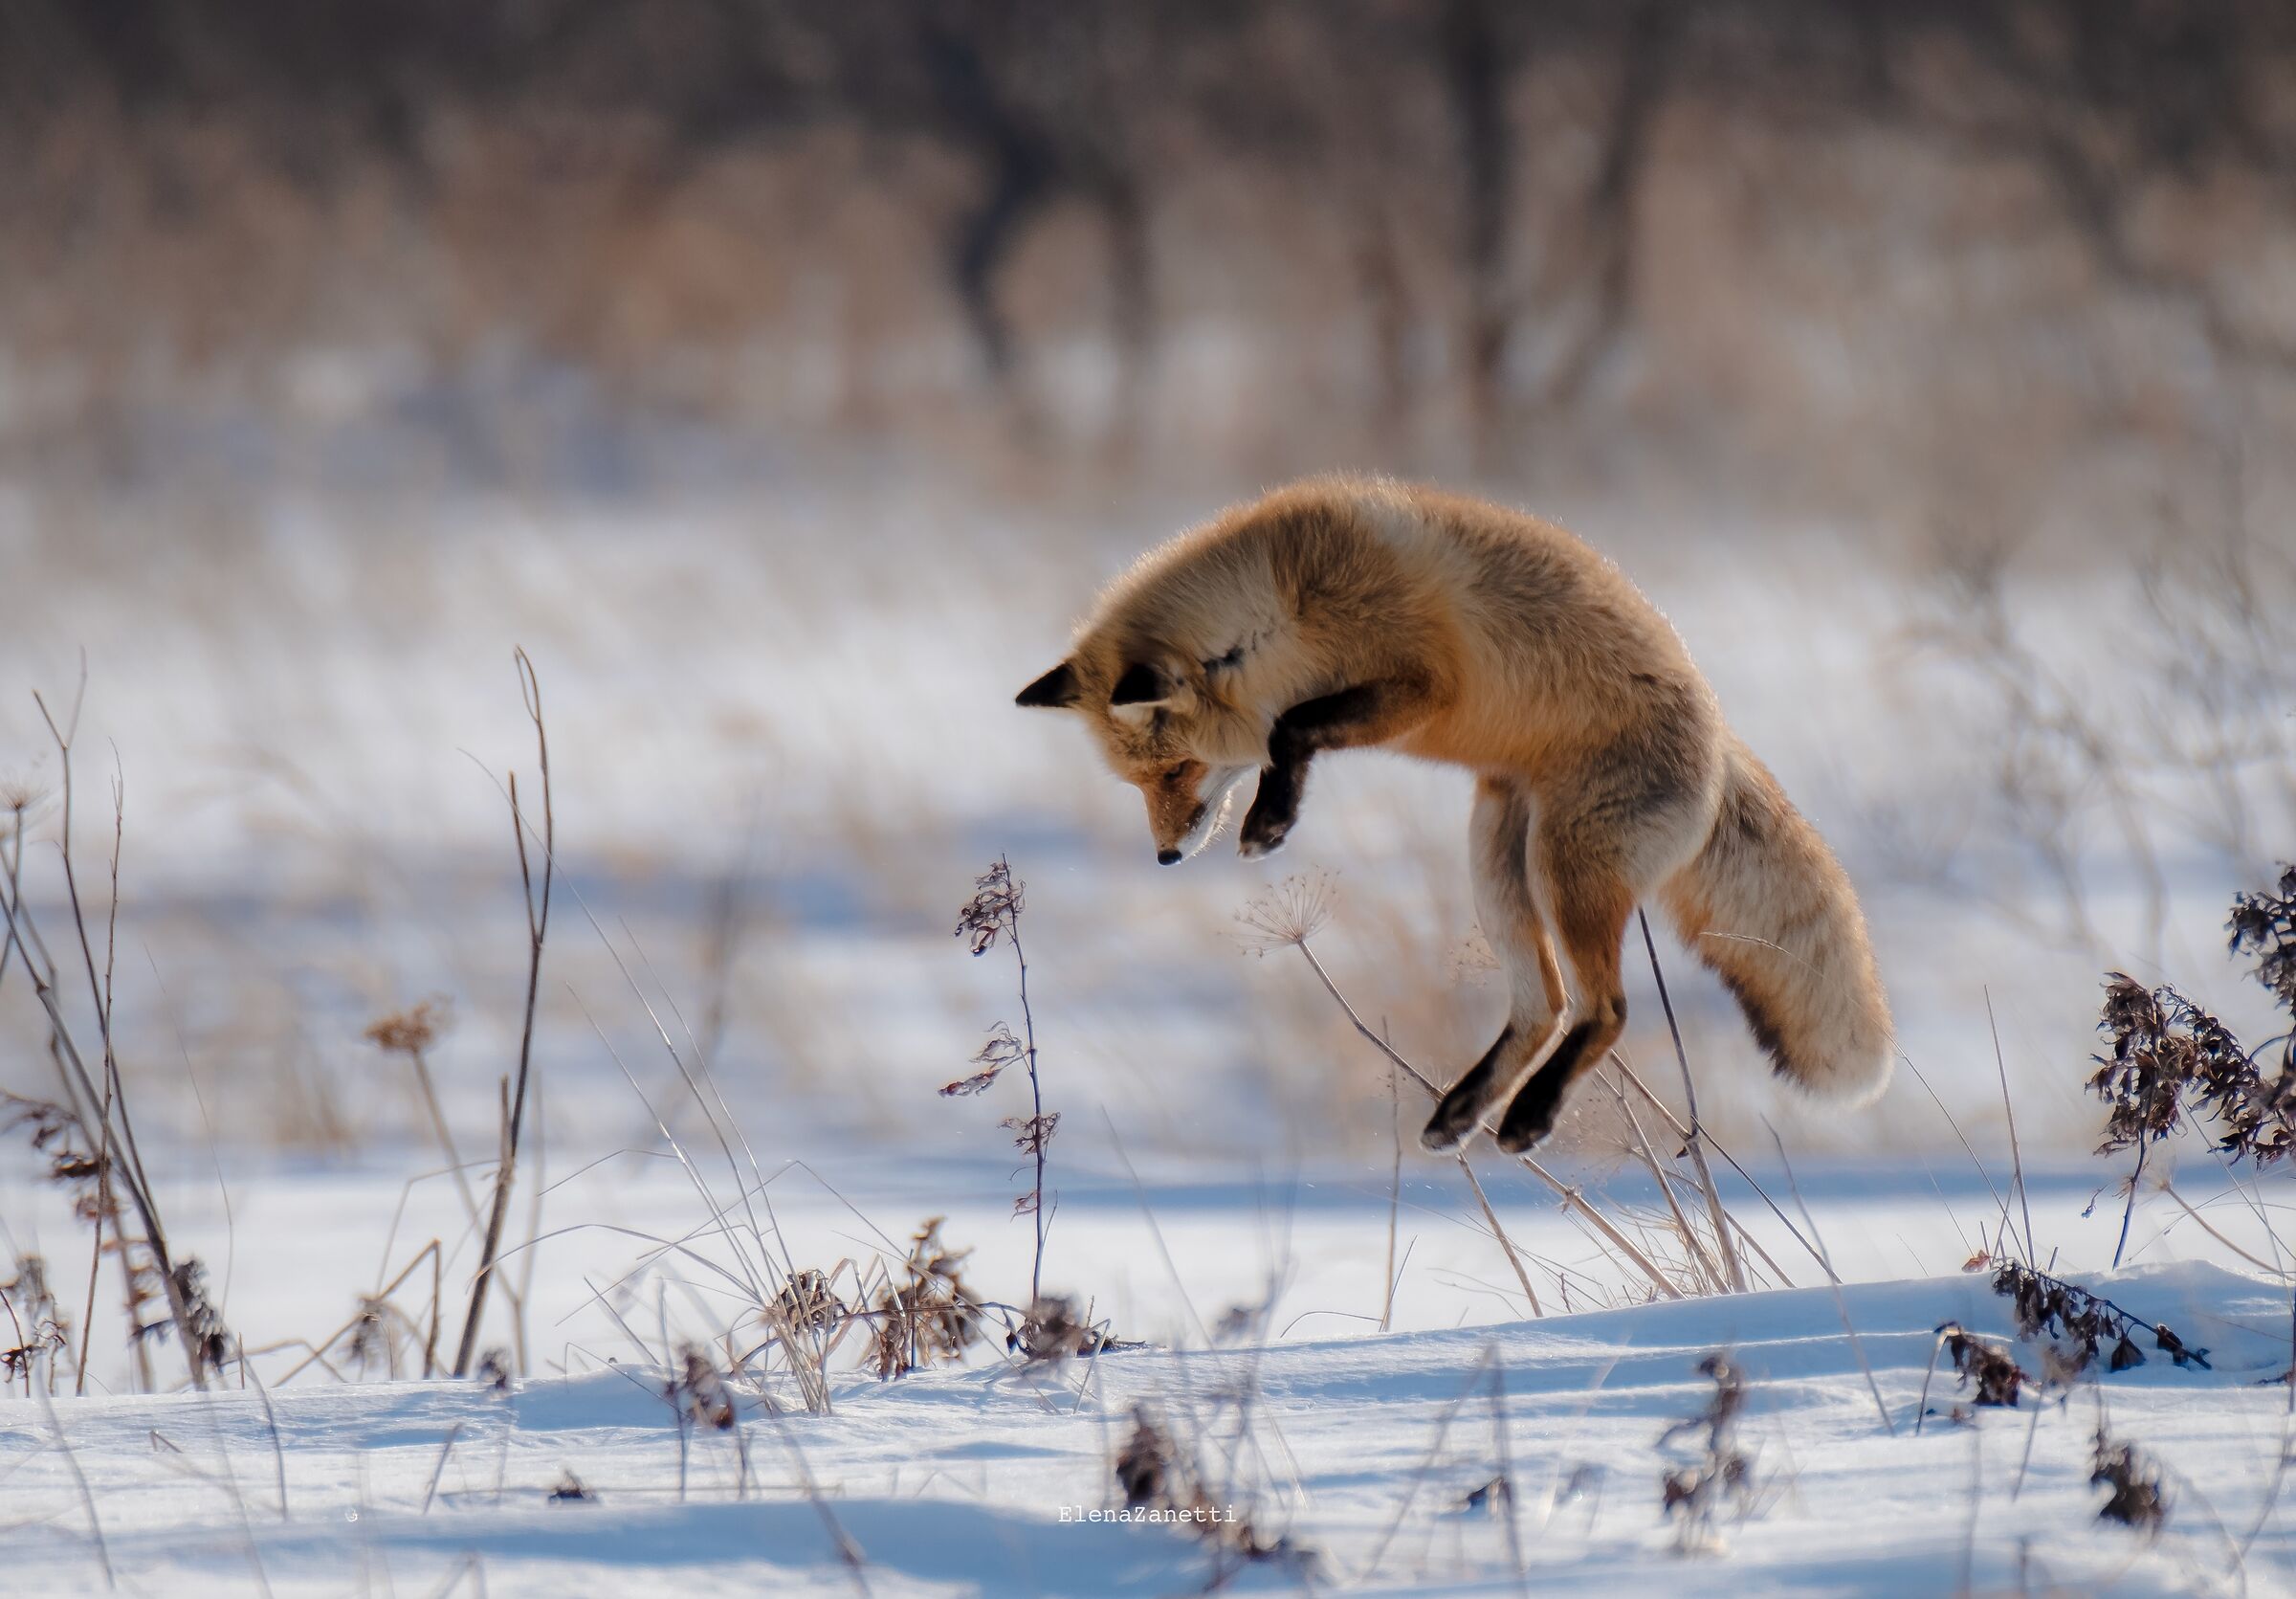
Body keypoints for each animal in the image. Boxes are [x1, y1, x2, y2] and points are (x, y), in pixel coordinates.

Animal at [1015, 476, 1893, 1154]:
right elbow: (1283, 730)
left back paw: (1530, 1117)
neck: (1284, 611)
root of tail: (1720, 736)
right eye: (1137, 783)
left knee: (1606, 1009)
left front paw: (1269, 821)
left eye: (1175, 769)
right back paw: (1462, 1112)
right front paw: (1272, 811)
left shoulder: (1420, 685)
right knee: (1544, 1007)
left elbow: (1289, 726)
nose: (1164, 856)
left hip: (1564, 871)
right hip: (1497, 867)